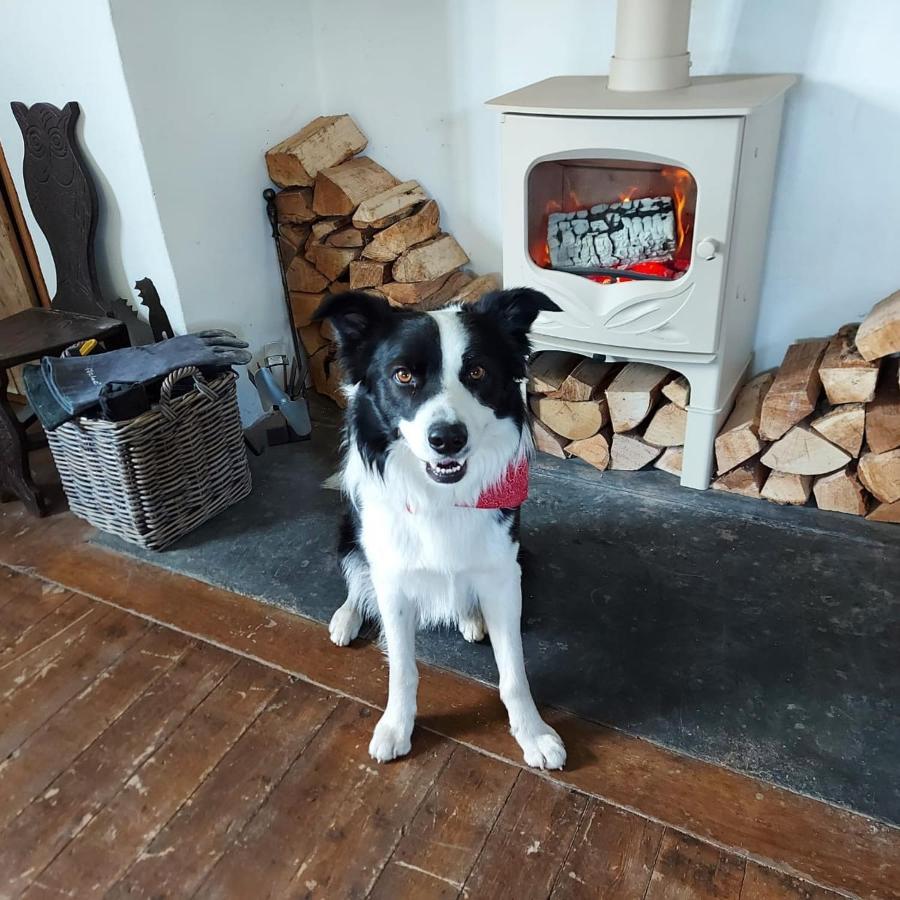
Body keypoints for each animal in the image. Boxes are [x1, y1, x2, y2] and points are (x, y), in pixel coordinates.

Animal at [316, 286, 568, 768]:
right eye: (402, 375)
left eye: (477, 371)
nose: (447, 439)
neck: (442, 497)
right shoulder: (393, 579)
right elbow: (403, 669)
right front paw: (396, 727)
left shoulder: (504, 573)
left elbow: (514, 672)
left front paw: (533, 734)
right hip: (348, 532)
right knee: (357, 578)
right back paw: (346, 616)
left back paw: (470, 616)